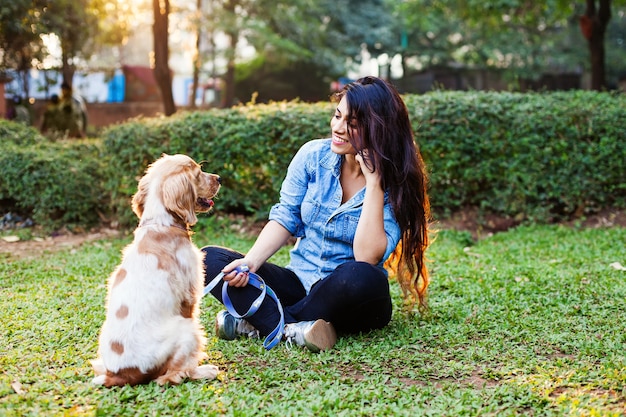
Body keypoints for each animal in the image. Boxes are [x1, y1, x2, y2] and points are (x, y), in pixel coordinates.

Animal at [91, 154, 221, 386]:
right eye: (198, 173)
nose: (219, 178)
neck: (161, 223)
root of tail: (117, 375)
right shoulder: (189, 298)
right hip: (186, 328)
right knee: (172, 375)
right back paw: (205, 371)